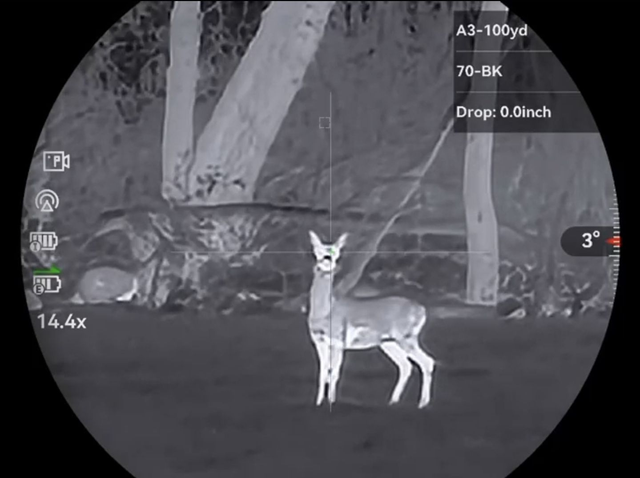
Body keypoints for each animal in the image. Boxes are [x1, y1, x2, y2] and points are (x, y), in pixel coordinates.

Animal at [307, 230, 436, 409]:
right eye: (318, 250)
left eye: (336, 252)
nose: (327, 260)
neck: (325, 311)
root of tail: (421, 310)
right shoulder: (318, 341)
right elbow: (323, 374)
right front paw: (318, 404)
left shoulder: (339, 339)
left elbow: (334, 373)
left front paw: (331, 403)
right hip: (388, 342)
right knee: (406, 365)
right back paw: (393, 401)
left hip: (406, 336)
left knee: (427, 362)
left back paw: (422, 404)